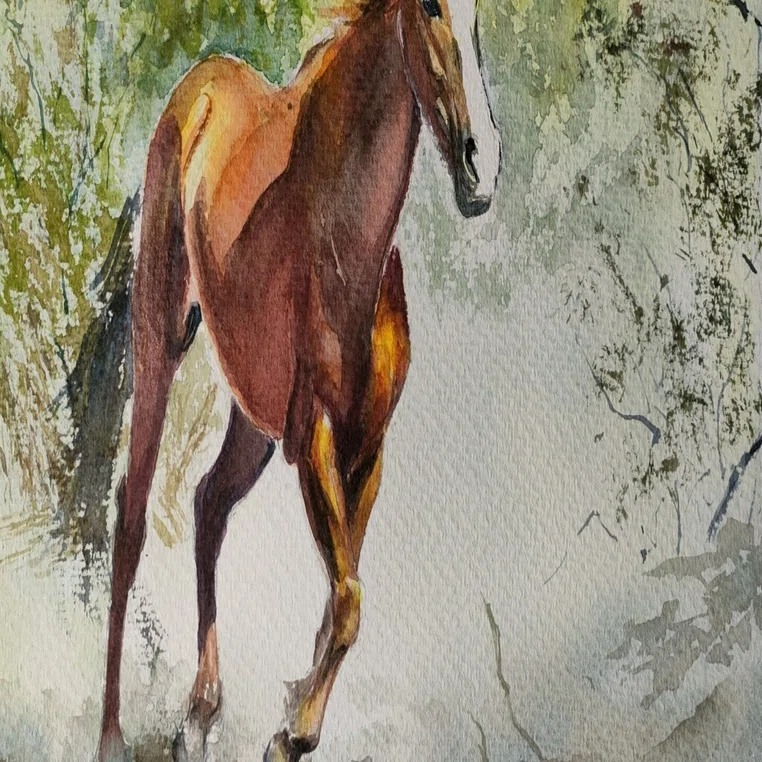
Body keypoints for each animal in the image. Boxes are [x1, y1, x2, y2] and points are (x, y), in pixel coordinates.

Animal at [96, 0, 500, 756]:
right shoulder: (312, 435)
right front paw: (291, 731)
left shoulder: (365, 446)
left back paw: (198, 714)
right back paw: (111, 734)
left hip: (251, 417)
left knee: (208, 503)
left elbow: (344, 595)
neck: (344, 242)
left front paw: (293, 721)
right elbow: (348, 599)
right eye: (430, 8)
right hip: (161, 342)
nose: (480, 171)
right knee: (132, 516)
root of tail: (198, 85)